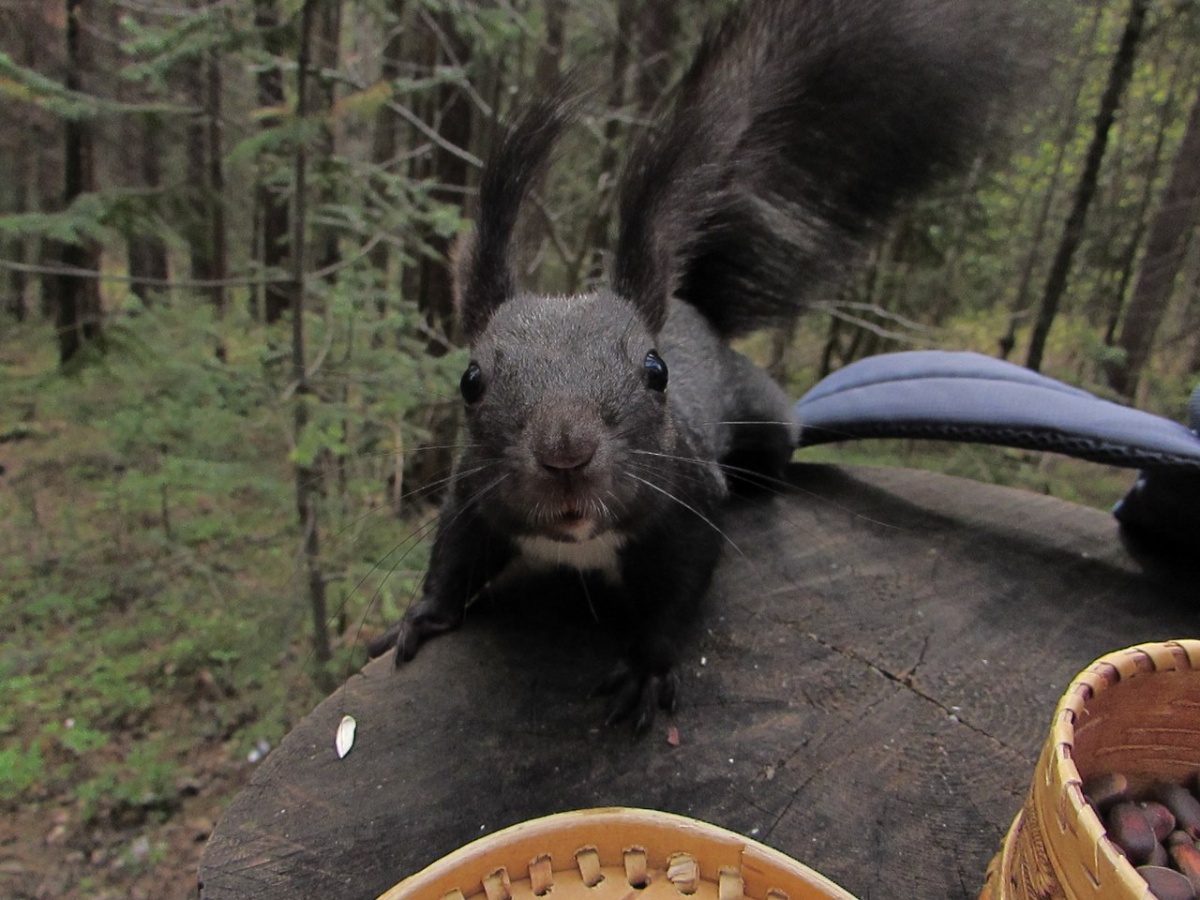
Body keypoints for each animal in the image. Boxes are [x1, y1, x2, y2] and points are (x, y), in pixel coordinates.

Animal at [372, 0, 1012, 734]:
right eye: (471, 380)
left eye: (655, 371)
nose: (566, 453)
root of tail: (689, 304)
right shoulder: (474, 491)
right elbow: (453, 557)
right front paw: (423, 615)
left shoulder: (691, 506)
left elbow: (678, 596)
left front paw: (648, 668)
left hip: (763, 416)